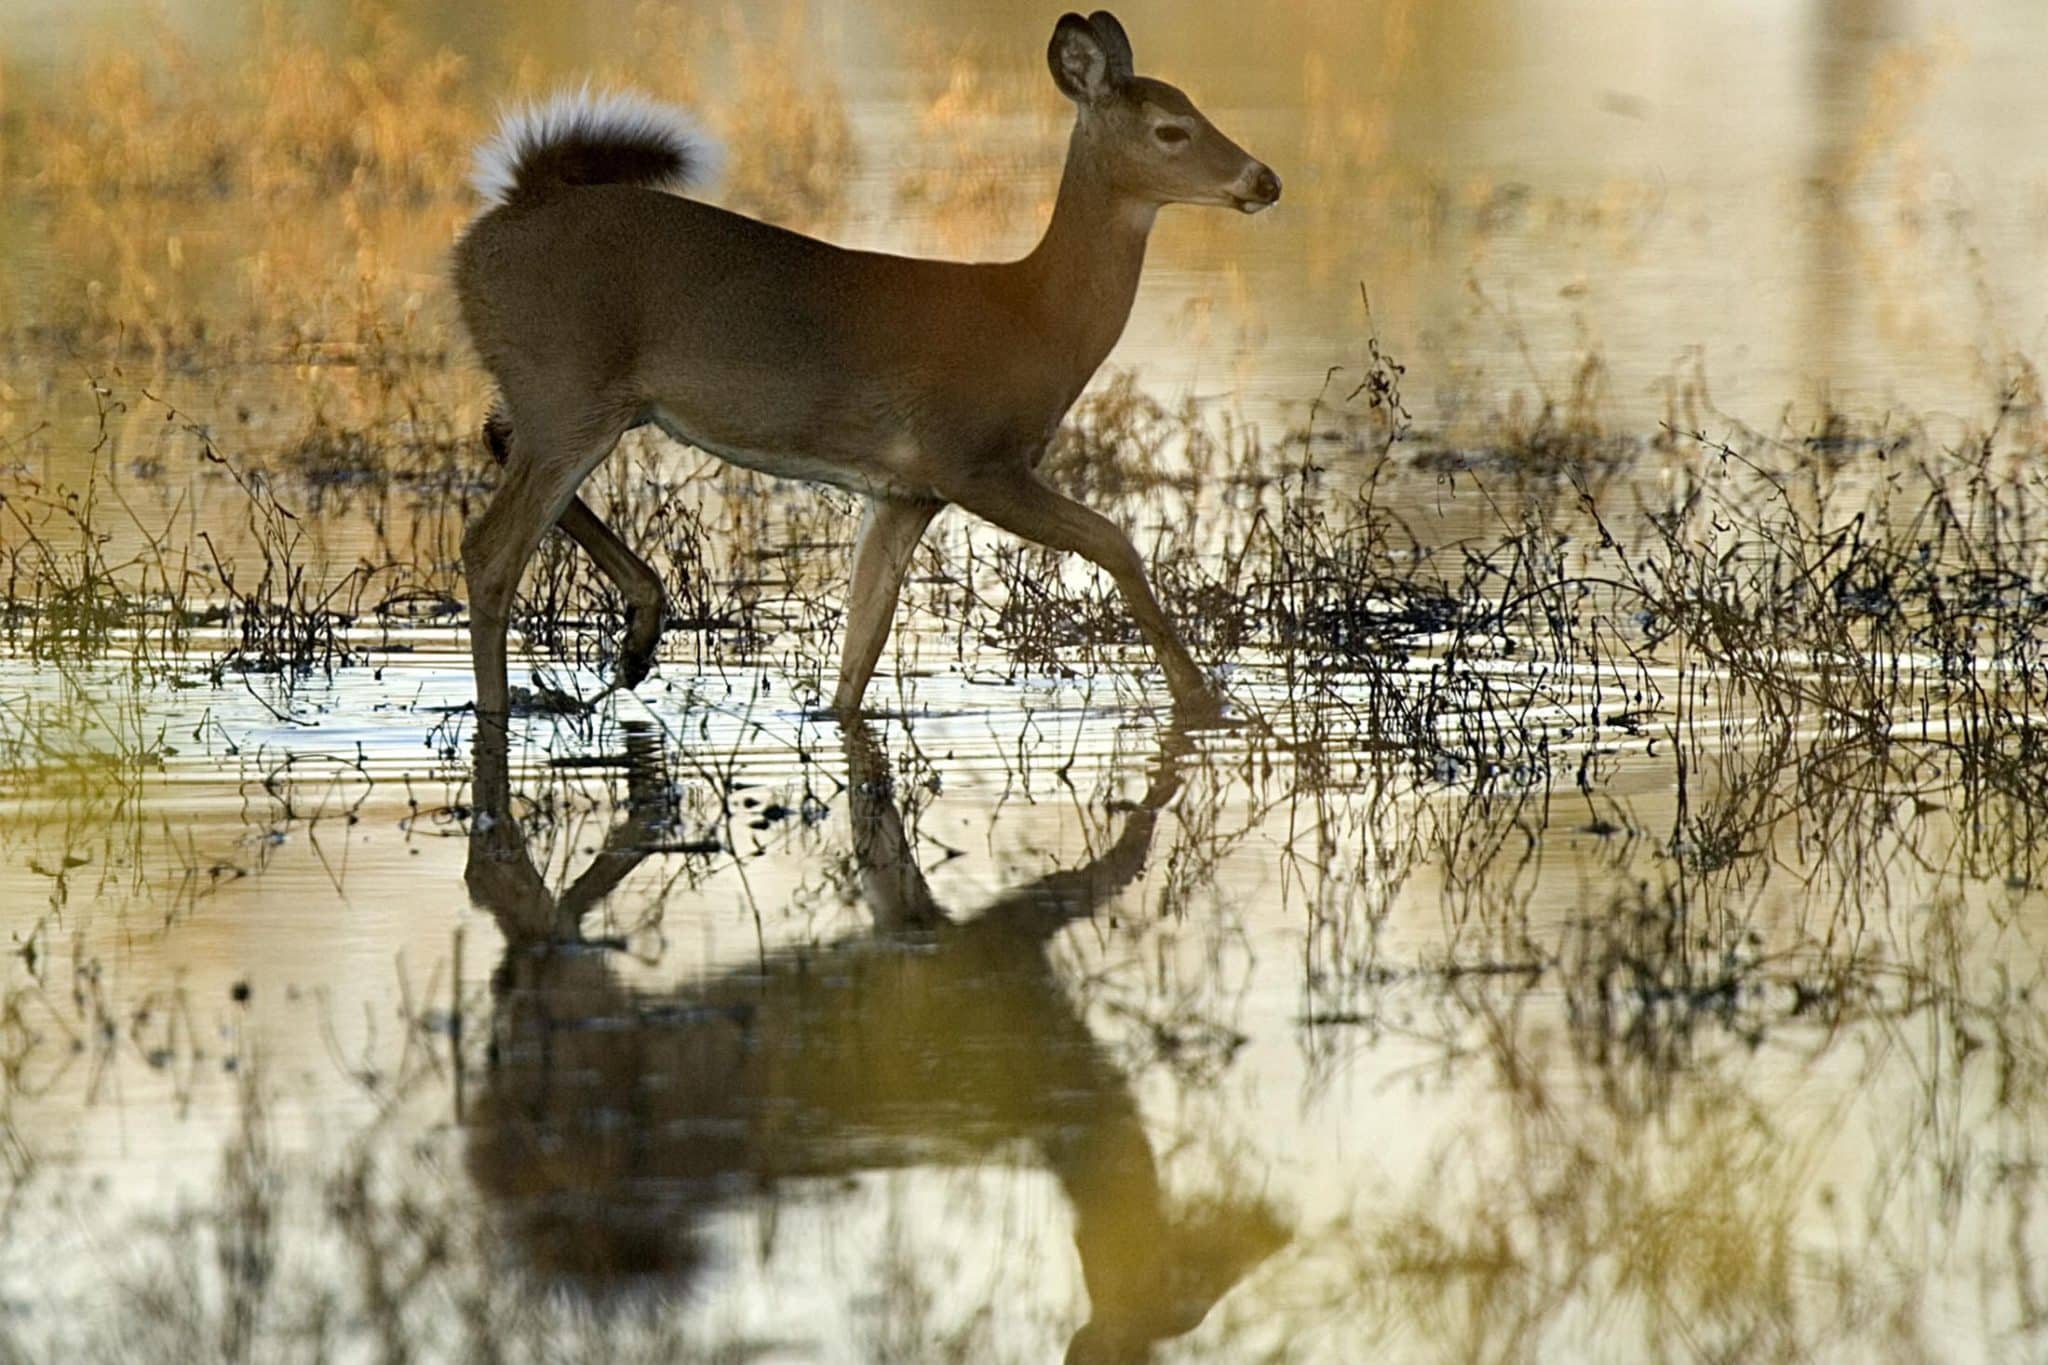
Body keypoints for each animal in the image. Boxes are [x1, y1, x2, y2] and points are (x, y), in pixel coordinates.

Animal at [456, 7, 1277, 724]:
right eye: (1171, 129)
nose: (1263, 179)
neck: (1031, 317)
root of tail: (505, 214)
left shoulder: (904, 494)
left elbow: (861, 647)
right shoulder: (973, 460)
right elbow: (1115, 540)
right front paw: (1204, 700)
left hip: (569, 395)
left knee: (498, 441)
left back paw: (638, 638)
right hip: (568, 389)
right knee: (489, 550)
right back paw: (503, 705)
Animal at [468, 720, 1286, 1358]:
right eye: (1185, 1295)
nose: (1264, 1237)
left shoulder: (915, 917)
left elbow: (879, 831)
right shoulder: (1010, 937)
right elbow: (1122, 859)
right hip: (579, 1011)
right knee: (524, 918)